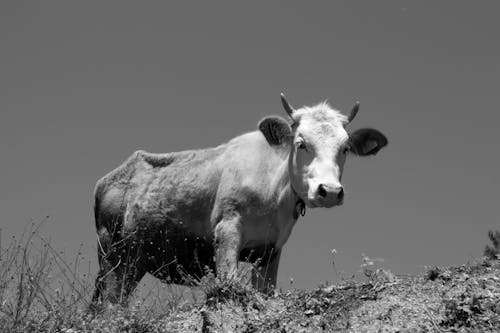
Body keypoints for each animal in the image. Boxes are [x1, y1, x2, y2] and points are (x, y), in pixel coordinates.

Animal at [91, 93, 386, 304]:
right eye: (301, 143)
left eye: (345, 148)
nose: (330, 191)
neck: (273, 193)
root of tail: (109, 178)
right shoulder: (227, 229)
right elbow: (229, 282)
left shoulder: (271, 249)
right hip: (112, 253)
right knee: (110, 303)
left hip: (135, 259)